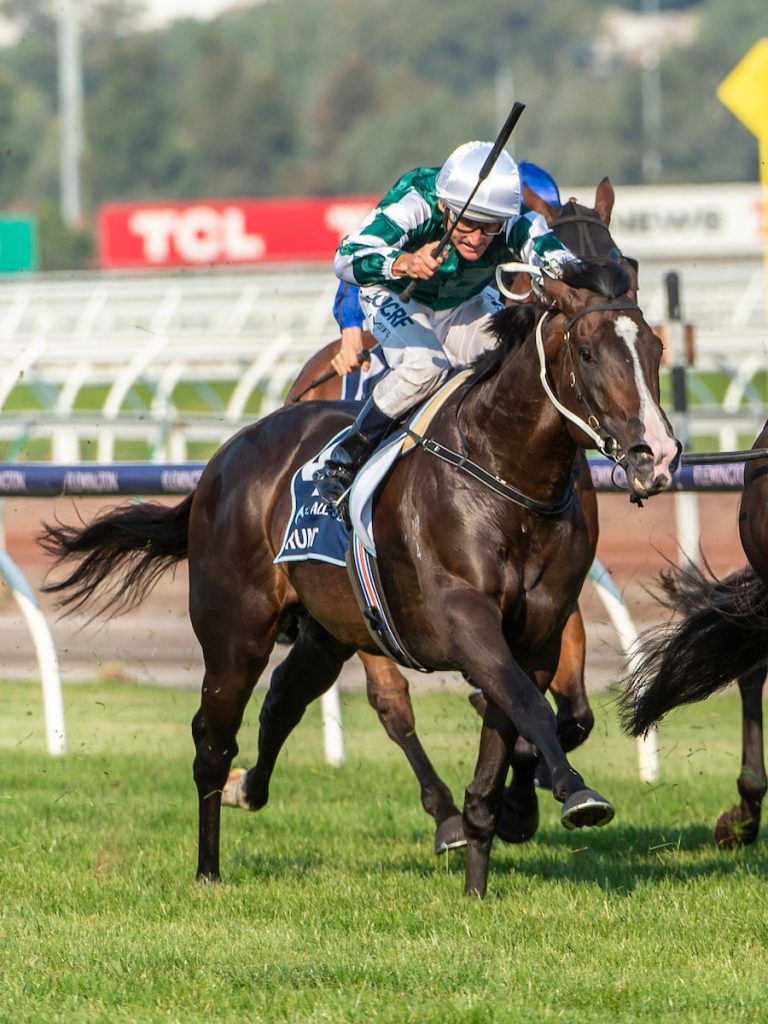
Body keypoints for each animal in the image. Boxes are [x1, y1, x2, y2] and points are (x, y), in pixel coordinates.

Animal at [41, 258, 679, 897]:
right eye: (588, 352)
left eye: (655, 347)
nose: (659, 454)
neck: (504, 475)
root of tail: (222, 459)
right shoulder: (466, 619)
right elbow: (528, 706)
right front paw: (576, 794)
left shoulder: (537, 632)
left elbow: (511, 733)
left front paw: (479, 880)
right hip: (235, 632)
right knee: (214, 740)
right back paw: (208, 867)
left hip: (330, 631)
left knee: (283, 699)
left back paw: (250, 788)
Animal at [286, 180, 626, 851]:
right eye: (557, 288)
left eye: (623, 268)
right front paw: (518, 787)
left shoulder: (558, 594)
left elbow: (571, 712)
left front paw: (524, 784)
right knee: (391, 701)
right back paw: (445, 815)